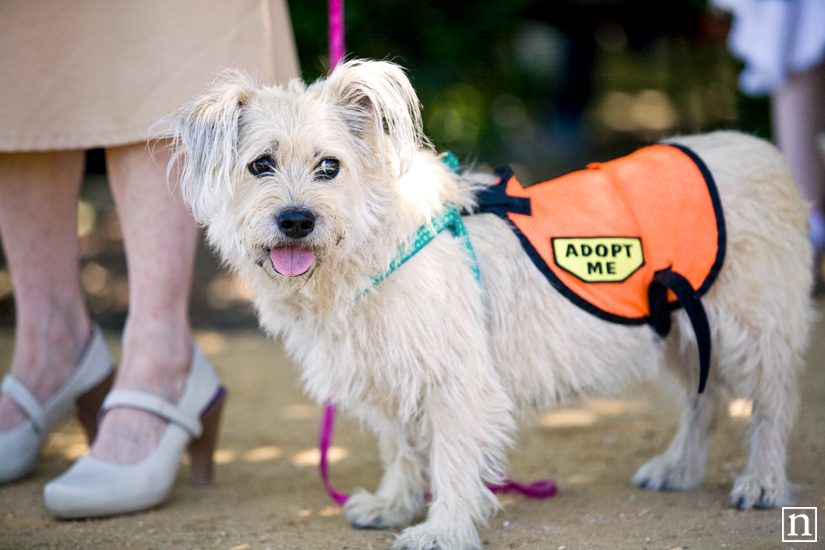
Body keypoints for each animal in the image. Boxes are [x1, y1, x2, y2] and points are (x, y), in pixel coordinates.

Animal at [167, 60, 812, 550]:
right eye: (260, 165)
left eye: (330, 166)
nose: (296, 221)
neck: (370, 248)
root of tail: (768, 154)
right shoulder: (387, 374)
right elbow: (400, 447)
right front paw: (394, 504)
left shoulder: (456, 383)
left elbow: (452, 459)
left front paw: (443, 529)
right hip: (679, 329)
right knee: (707, 399)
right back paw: (678, 469)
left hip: (751, 329)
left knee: (773, 401)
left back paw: (761, 480)